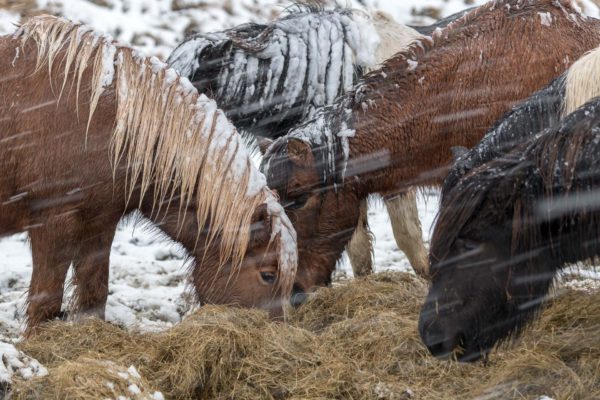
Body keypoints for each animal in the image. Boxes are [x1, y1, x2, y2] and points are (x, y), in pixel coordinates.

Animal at [0, 16, 298, 332]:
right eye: (268, 274)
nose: (277, 332)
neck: (109, 125)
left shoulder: (99, 222)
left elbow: (94, 292)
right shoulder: (52, 222)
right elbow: (46, 300)